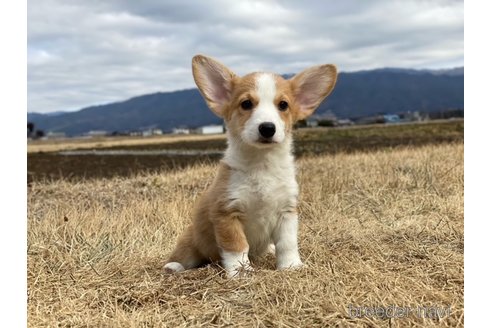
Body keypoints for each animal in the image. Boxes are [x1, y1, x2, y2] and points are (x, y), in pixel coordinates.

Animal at [163, 55, 336, 278]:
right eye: (246, 104)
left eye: (283, 105)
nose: (267, 128)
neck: (262, 165)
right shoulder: (227, 213)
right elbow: (237, 246)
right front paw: (240, 272)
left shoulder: (287, 212)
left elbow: (287, 243)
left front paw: (291, 266)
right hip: (190, 240)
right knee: (183, 255)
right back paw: (173, 266)